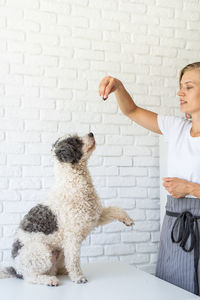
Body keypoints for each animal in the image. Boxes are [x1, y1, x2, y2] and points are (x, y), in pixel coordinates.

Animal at [0, 133, 134, 286]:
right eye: (75, 141)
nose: (91, 133)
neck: (73, 182)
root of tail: (16, 268)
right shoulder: (73, 237)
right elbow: (74, 260)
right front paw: (79, 277)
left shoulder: (94, 215)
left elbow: (115, 209)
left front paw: (127, 219)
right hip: (42, 251)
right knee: (31, 276)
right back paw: (49, 280)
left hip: (59, 253)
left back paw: (63, 271)